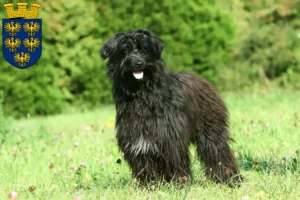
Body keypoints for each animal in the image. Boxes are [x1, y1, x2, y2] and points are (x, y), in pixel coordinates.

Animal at [100, 28, 241, 185]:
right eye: (125, 50)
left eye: (145, 49)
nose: (139, 63)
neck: (142, 93)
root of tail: (203, 81)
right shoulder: (137, 138)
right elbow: (144, 163)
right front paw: (149, 184)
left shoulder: (170, 137)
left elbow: (175, 159)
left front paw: (179, 182)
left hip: (211, 129)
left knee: (218, 151)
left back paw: (229, 178)